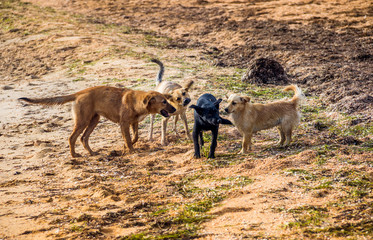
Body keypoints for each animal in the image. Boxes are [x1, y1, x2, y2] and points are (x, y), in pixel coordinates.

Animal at [20, 86, 176, 158]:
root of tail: (79, 93)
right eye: (164, 102)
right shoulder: (124, 124)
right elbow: (128, 139)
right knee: (72, 138)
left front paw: (127, 146)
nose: (174, 109)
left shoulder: (134, 123)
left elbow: (135, 137)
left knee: (83, 138)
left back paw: (91, 152)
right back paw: (74, 155)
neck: (137, 102)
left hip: (94, 120)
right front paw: (131, 150)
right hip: (83, 121)